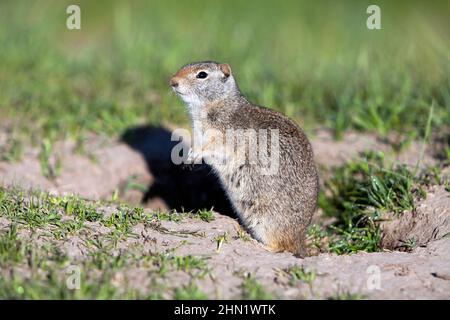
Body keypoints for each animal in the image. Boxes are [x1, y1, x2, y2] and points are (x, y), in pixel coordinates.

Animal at [170, 61, 320, 256]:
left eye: (202, 75)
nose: (172, 81)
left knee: (281, 246)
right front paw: (188, 158)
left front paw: (194, 156)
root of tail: (300, 239)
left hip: (267, 220)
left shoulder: (225, 136)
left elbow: (213, 147)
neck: (219, 103)